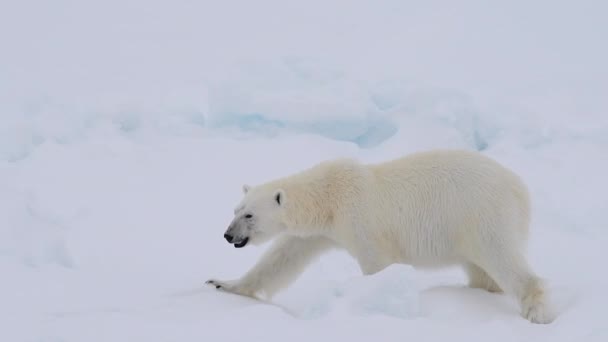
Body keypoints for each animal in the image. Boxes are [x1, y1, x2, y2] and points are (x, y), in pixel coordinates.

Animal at [205, 150, 556, 324]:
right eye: (236, 209)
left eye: (249, 215)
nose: (227, 235)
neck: (328, 197)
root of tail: (519, 188)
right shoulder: (316, 232)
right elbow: (281, 260)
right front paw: (222, 283)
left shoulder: (360, 220)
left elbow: (377, 263)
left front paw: (376, 301)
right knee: (482, 272)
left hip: (479, 214)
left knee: (501, 257)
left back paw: (535, 310)